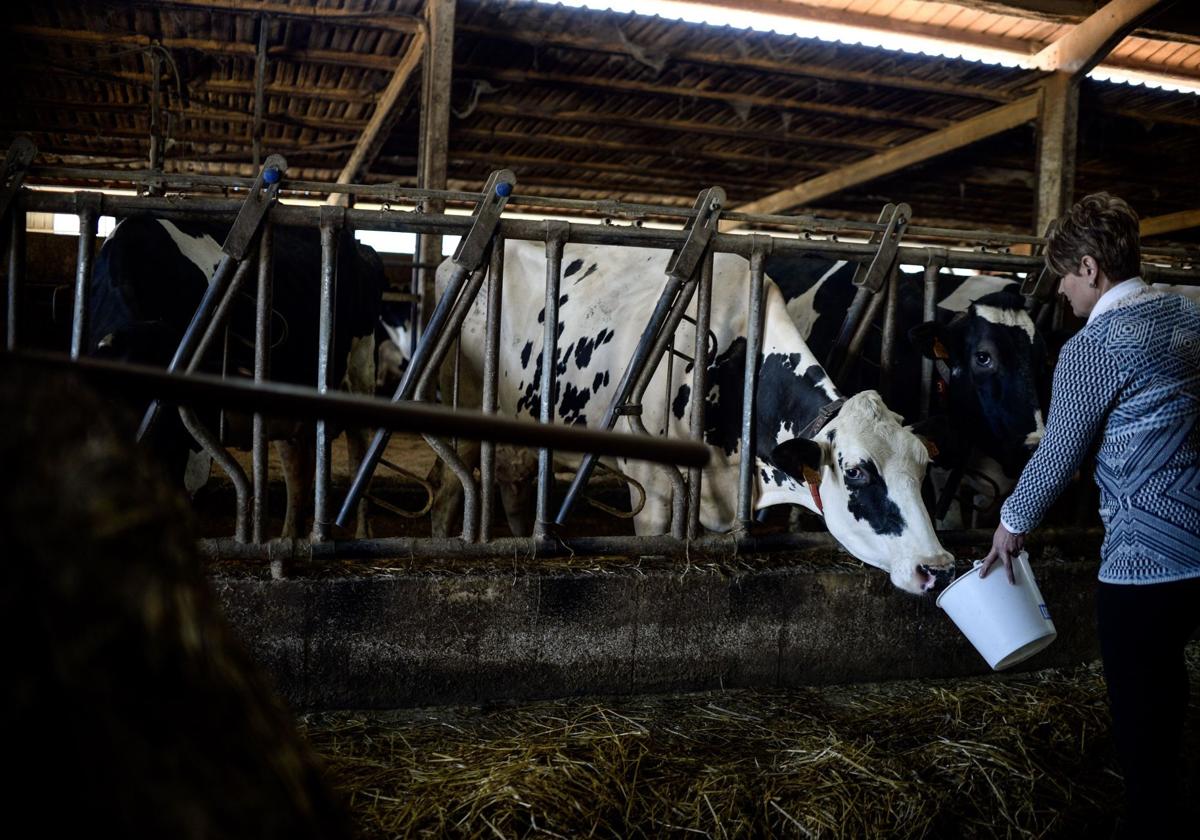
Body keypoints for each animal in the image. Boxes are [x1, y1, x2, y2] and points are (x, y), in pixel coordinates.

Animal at [434, 242, 955, 597]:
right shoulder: (652, 490)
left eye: (923, 470)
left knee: (514, 481)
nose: (938, 567)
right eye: (856, 472)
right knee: (452, 481)